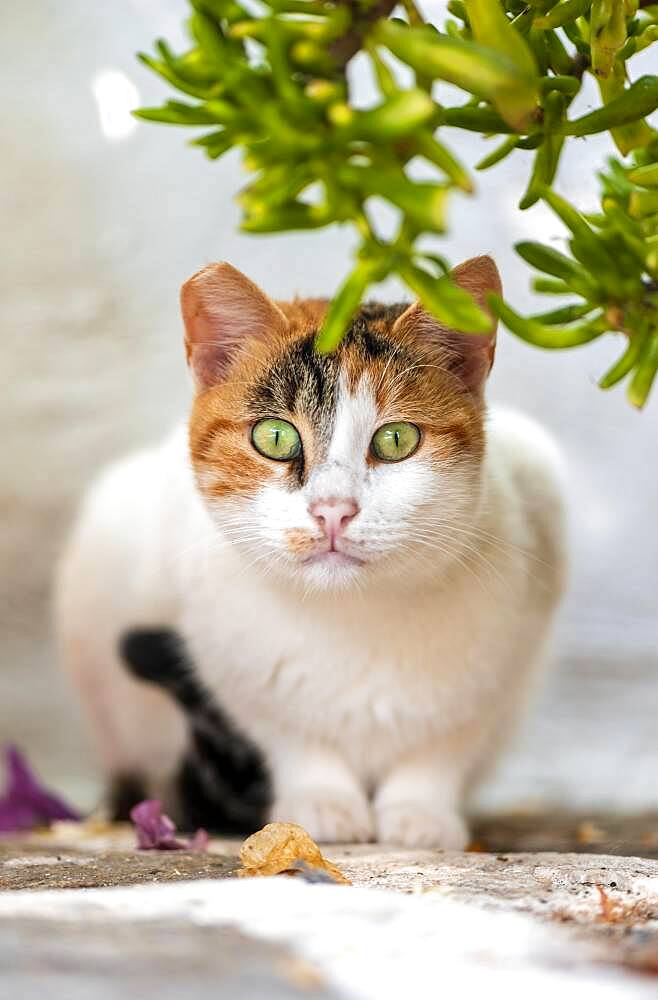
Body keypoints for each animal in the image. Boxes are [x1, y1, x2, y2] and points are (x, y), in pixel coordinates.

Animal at [55, 256, 564, 844]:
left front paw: (420, 813)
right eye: (275, 438)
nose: (332, 510)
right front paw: (322, 803)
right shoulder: (231, 664)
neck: (352, 616)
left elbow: (442, 748)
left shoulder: (502, 662)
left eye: (396, 440)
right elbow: (293, 737)